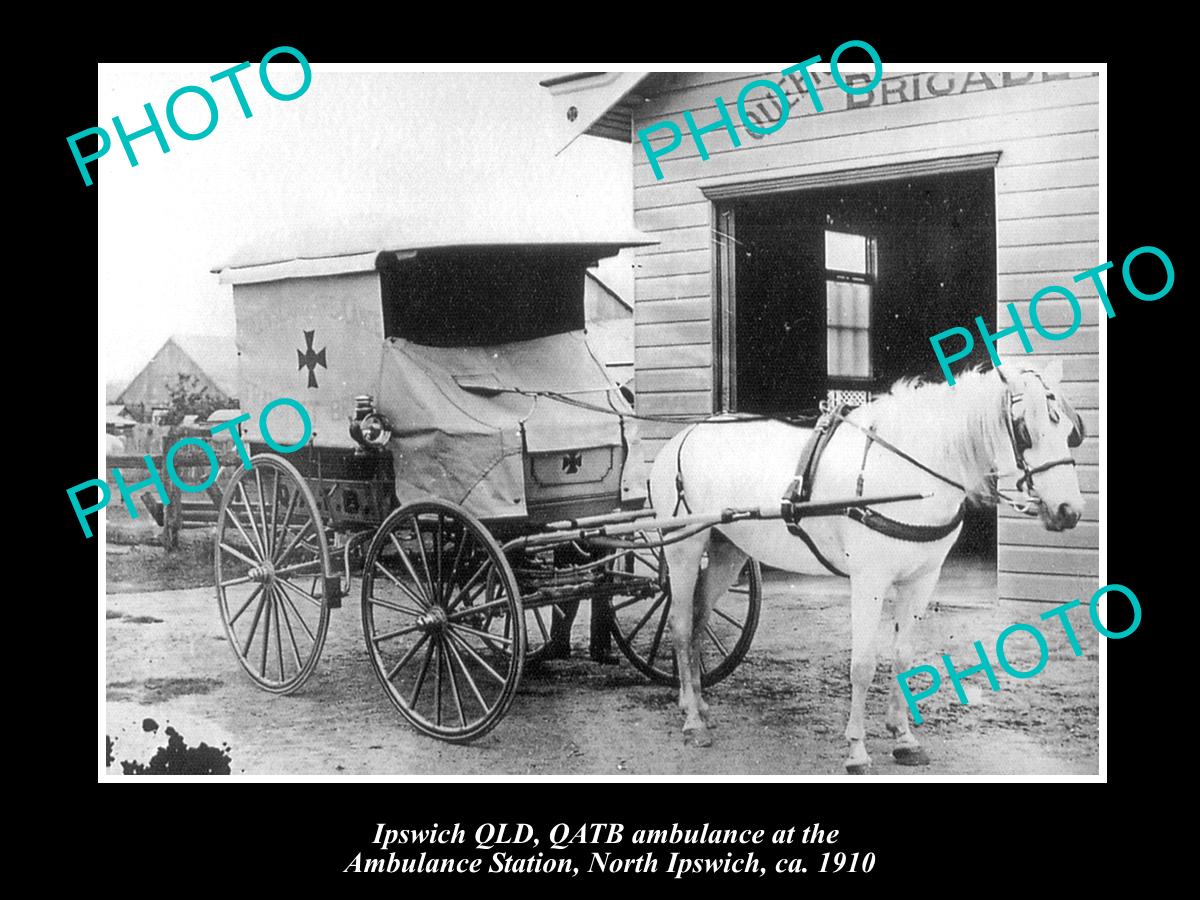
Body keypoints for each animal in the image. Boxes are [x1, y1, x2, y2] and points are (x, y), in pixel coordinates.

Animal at [648, 362, 1089, 772]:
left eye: (1070, 430)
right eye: (1024, 430)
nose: (1069, 511)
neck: (907, 471)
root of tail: (682, 438)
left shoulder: (921, 581)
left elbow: (903, 657)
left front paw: (904, 738)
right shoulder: (869, 581)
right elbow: (862, 665)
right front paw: (857, 749)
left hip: (728, 550)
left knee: (700, 621)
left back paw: (698, 704)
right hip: (685, 547)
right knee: (682, 626)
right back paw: (692, 721)